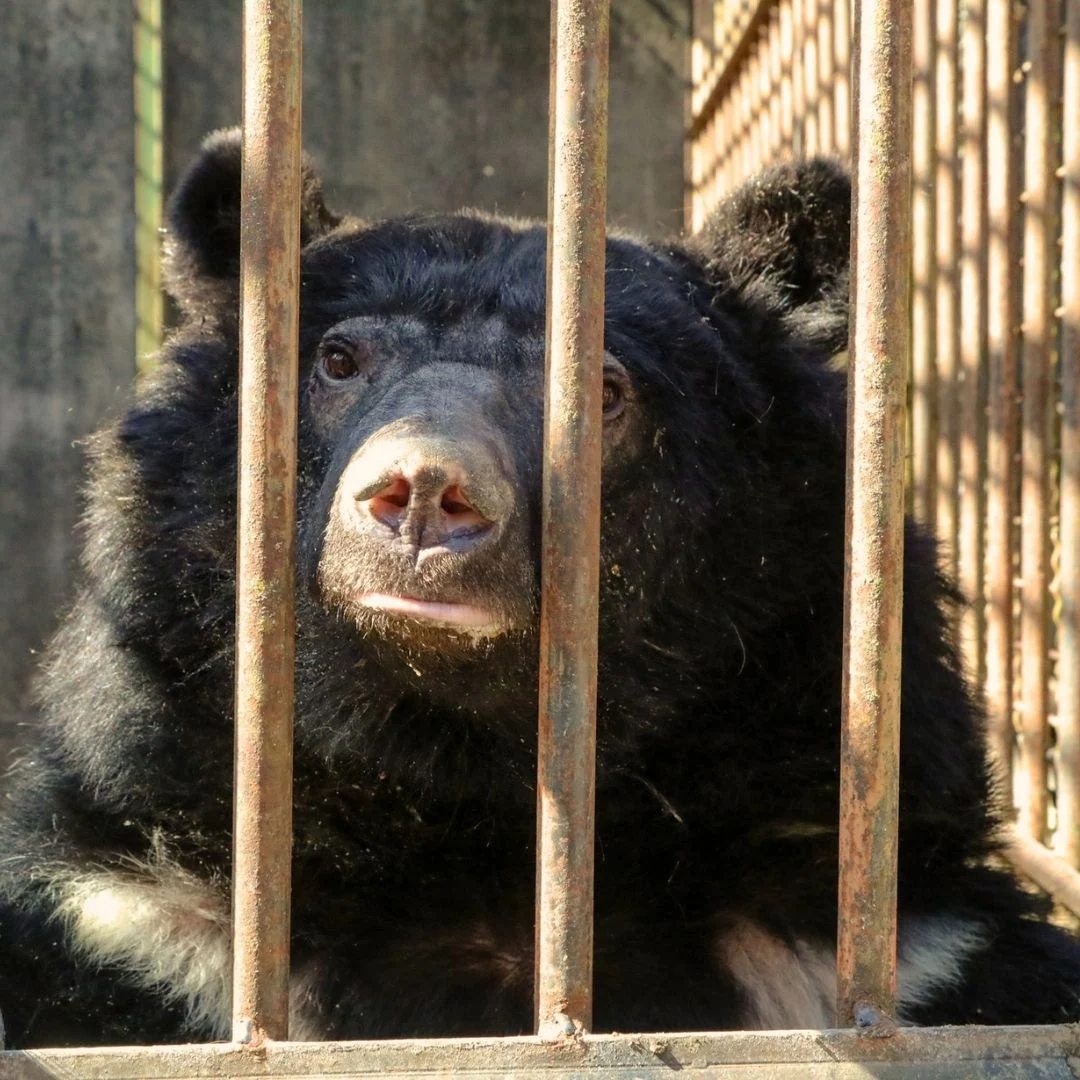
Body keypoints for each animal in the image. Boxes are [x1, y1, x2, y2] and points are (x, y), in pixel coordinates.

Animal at [0, 127, 1078, 1050]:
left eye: (602, 391)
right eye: (338, 360)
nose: (423, 493)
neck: (462, 782)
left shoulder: (907, 948)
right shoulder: (134, 922)